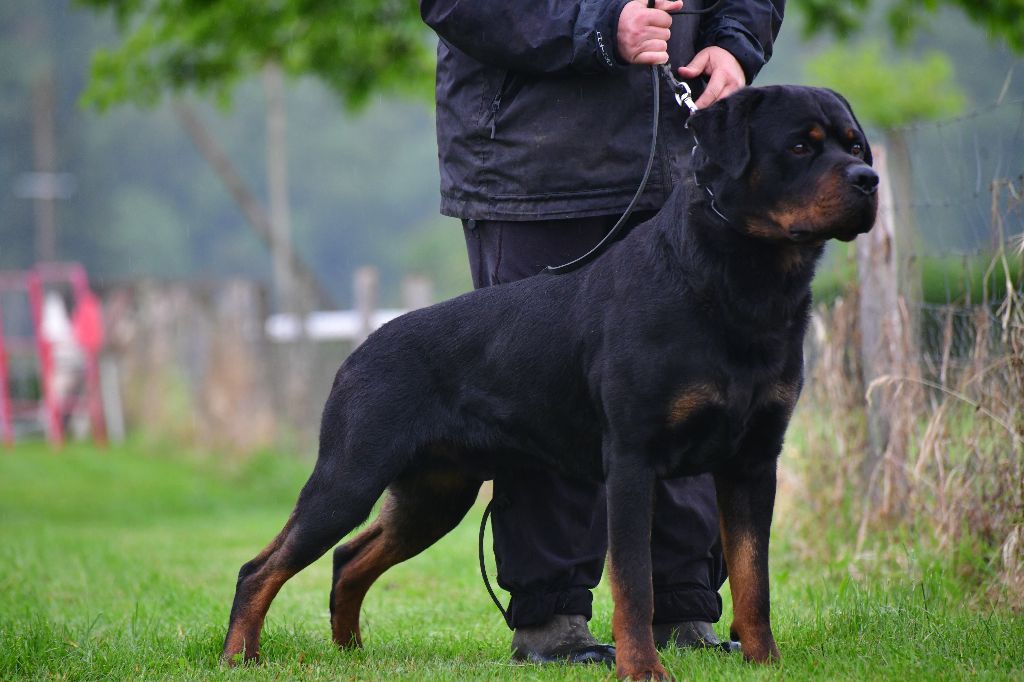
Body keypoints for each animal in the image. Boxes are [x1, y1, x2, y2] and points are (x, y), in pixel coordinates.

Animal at [220, 86, 876, 679]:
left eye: (852, 144)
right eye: (799, 146)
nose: (869, 178)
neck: (740, 283)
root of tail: (357, 351)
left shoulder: (753, 459)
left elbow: (751, 576)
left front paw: (764, 662)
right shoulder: (632, 459)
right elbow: (634, 585)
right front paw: (642, 669)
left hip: (436, 492)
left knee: (349, 557)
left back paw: (350, 651)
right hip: (351, 474)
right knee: (264, 567)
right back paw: (239, 655)